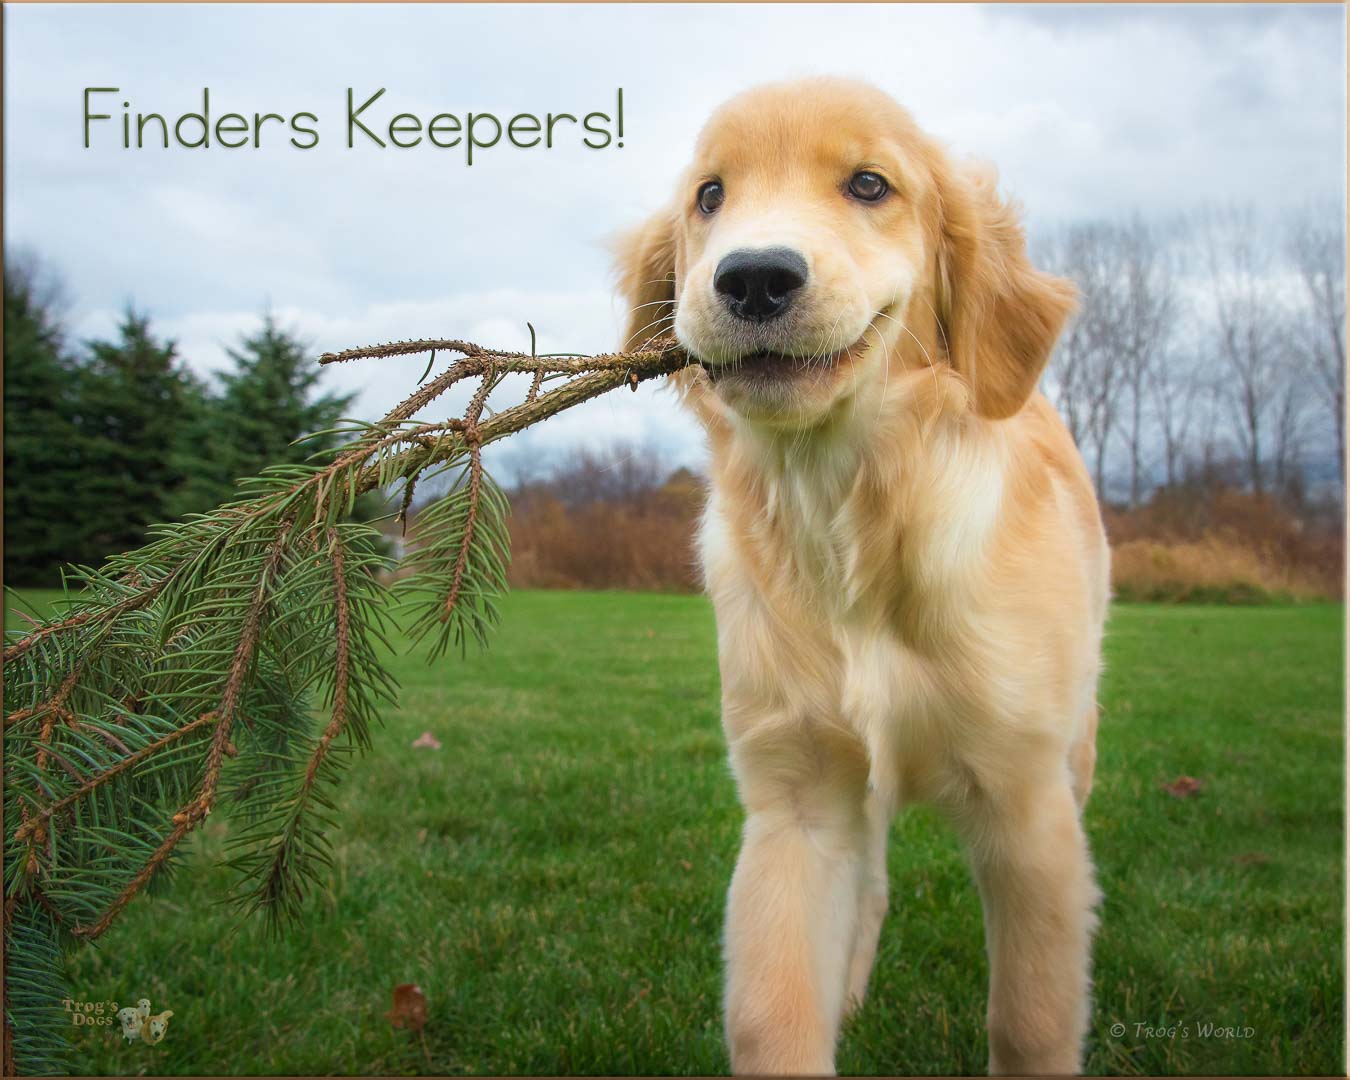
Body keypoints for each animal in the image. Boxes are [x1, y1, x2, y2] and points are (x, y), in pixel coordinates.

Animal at [612, 77, 1107, 1080]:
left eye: (870, 184)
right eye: (710, 196)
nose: (754, 278)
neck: (849, 511)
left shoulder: (1029, 807)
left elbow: (1032, 1019)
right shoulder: (796, 794)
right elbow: (773, 1016)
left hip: (1074, 752)